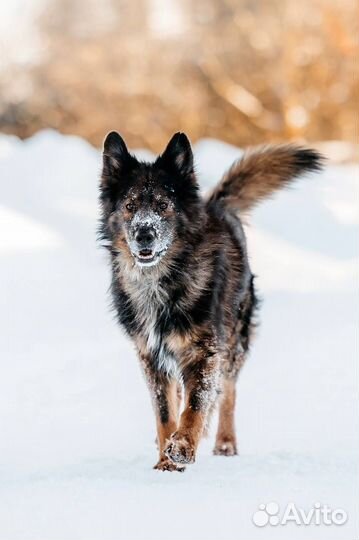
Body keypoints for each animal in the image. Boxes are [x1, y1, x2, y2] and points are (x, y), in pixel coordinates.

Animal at [98, 133, 324, 470]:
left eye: (163, 205)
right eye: (130, 206)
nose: (144, 234)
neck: (162, 282)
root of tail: (216, 205)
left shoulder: (205, 351)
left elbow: (196, 404)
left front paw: (183, 446)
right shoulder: (151, 356)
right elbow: (165, 412)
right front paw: (165, 461)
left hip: (234, 342)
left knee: (226, 393)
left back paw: (224, 442)